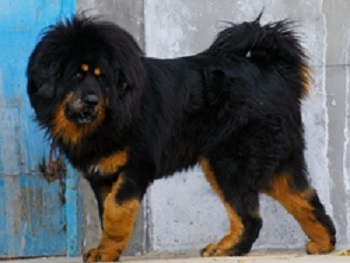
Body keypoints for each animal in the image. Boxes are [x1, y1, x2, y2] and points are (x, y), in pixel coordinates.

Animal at [26, 14, 334, 263]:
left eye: (101, 78)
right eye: (77, 75)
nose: (91, 101)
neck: (110, 115)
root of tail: (274, 71)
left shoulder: (136, 166)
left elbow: (116, 211)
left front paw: (105, 252)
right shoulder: (102, 175)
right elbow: (108, 214)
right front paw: (107, 249)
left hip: (229, 162)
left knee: (251, 217)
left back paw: (227, 249)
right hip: (269, 163)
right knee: (304, 198)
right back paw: (324, 244)